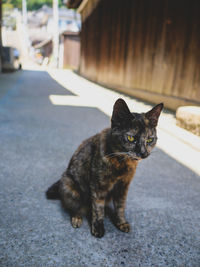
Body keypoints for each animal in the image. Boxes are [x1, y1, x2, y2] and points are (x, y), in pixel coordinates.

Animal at [46, 99, 163, 239]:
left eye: (150, 139)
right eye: (131, 138)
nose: (144, 153)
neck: (123, 164)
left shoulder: (123, 186)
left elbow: (120, 206)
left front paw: (121, 222)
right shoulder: (98, 186)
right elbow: (98, 208)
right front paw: (98, 227)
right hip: (69, 186)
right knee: (74, 207)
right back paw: (77, 218)